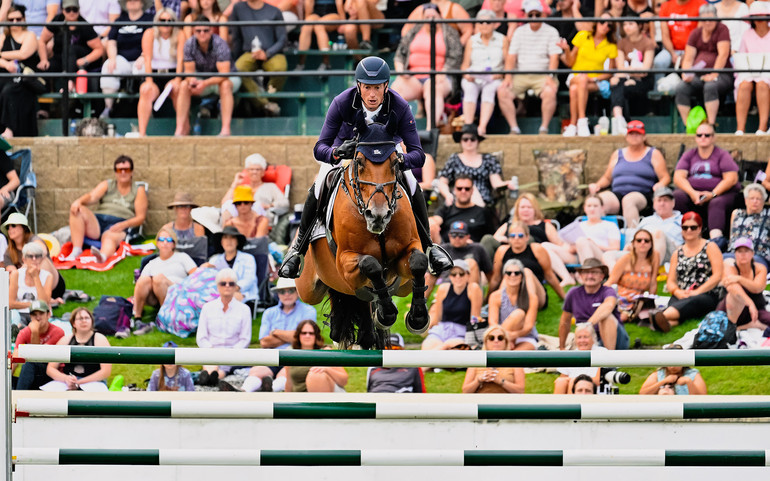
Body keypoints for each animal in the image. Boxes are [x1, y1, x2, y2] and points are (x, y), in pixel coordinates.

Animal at [296, 116, 428, 348]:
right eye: (359, 162)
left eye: (395, 163)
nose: (378, 215)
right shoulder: (345, 261)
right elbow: (371, 265)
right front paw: (386, 314)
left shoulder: (409, 248)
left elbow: (418, 261)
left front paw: (417, 318)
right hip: (308, 289)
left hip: (400, 287)